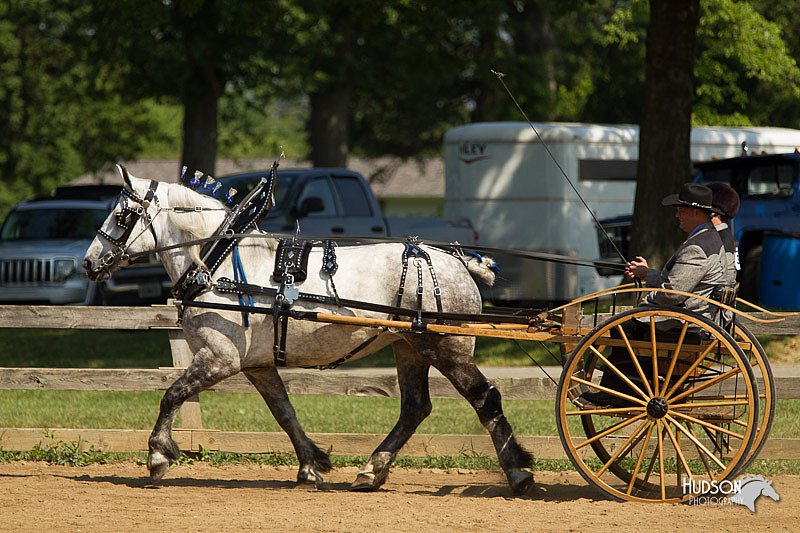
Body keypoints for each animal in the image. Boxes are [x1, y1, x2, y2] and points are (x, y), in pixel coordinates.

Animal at [81, 167, 536, 494]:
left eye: (122, 215)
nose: (88, 262)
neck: (217, 263)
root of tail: (458, 262)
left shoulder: (219, 358)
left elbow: (172, 394)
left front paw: (158, 456)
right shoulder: (257, 365)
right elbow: (284, 411)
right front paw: (312, 465)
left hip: (447, 346)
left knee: (485, 398)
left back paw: (518, 472)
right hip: (409, 347)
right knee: (415, 408)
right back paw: (371, 470)